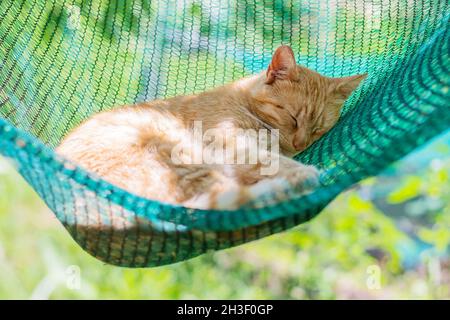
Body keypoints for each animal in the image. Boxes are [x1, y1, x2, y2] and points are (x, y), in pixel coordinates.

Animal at [57, 45, 366, 210]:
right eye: (292, 117)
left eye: (318, 129)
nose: (300, 144)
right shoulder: (231, 143)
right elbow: (269, 161)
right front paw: (306, 171)